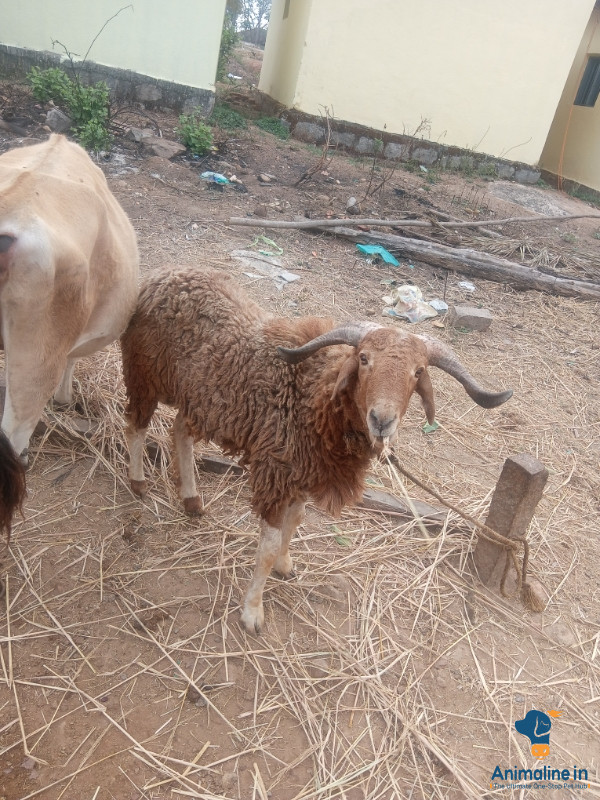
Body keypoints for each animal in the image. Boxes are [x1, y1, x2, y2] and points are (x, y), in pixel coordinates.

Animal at [121, 267, 512, 634]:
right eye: (364, 358)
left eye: (418, 372)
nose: (381, 420)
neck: (313, 395)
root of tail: (163, 276)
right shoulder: (276, 473)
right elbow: (266, 549)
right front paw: (252, 613)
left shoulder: (303, 474)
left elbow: (294, 524)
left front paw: (285, 566)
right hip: (144, 373)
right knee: (136, 426)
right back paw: (138, 483)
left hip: (197, 398)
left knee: (179, 430)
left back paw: (191, 499)